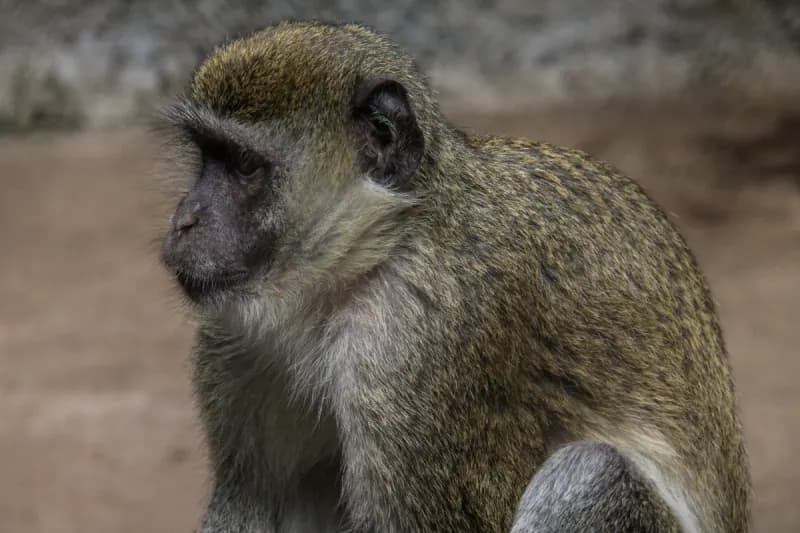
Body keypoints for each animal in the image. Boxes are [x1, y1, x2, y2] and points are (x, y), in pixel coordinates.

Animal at [159, 21, 750, 533]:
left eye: (243, 166)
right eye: (207, 155)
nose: (184, 220)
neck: (373, 255)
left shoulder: (424, 345)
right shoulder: (239, 344)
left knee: (592, 473)